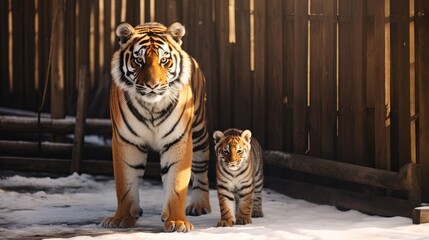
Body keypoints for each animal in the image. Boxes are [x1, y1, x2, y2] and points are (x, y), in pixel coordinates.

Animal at [102, 22, 212, 232]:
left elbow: (177, 183)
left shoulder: (178, 140)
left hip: (199, 132)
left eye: (164, 60)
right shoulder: (126, 140)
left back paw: (199, 206)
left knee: (201, 168)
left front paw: (177, 221)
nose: (152, 85)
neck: (152, 107)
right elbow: (125, 183)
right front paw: (121, 218)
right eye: (139, 60)